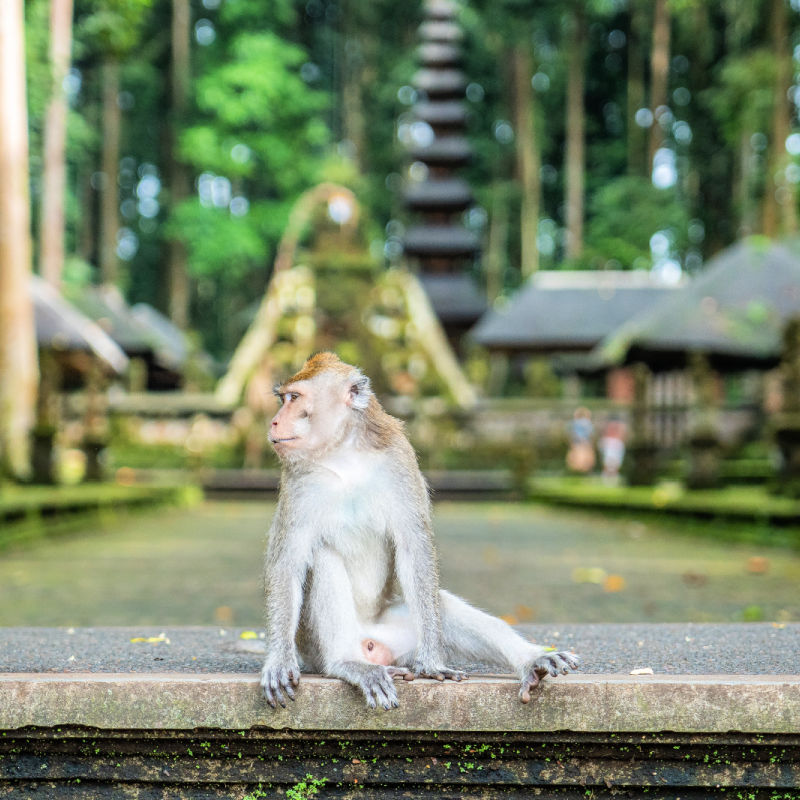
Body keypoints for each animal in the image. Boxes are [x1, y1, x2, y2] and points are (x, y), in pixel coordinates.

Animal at [260, 354, 580, 708]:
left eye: (294, 398)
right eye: (283, 398)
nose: (274, 422)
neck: (344, 455)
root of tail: (373, 644)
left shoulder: (399, 460)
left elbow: (414, 549)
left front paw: (431, 663)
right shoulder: (298, 481)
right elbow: (288, 562)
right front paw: (279, 661)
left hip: (398, 630)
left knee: (443, 606)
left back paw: (532, 661)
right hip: (316, 646)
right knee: (323, 558)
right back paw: (348, 663)